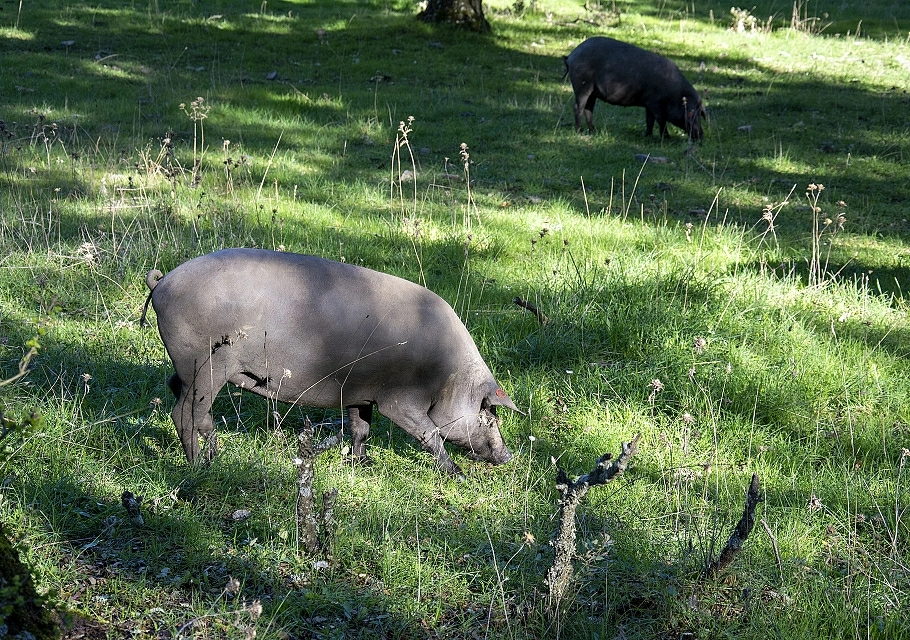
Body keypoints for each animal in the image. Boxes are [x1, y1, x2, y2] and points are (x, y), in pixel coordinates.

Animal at [146, 248, 524, 478]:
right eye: (489, 416)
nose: (508, 456)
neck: (445, 376)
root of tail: (163, 281)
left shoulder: (359, 391)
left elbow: (361, 427)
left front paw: (363, 463)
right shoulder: (399, 401)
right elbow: (430, 434)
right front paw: (457, 474)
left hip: (189, 367)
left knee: (184, 398)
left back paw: (214, 457)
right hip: (205, 364)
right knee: (184, 414)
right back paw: (199, 467)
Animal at [568, 37, 708, 141]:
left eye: (700, 114)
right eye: (691, 113)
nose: (701, 135)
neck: (673, 93)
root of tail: (571, 55)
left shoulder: (648, 104)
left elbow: (650, 120)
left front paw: (648, 135)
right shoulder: (655, 103)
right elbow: (661, 120)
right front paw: (667, 138)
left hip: (592, 92)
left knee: (588, 110)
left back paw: (593, 131)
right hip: (582, 86)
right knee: (578, 108)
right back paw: (579, 131)